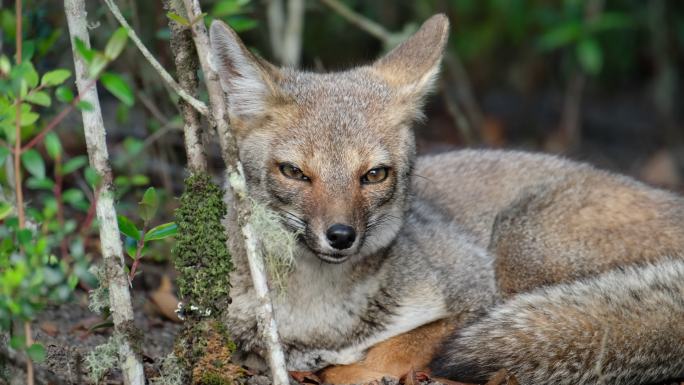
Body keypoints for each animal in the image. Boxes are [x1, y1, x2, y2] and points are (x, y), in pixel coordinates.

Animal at [208, 12, 684, 384]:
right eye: (294, 172)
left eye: (374, 175)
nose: (341, 236)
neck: (321, 312)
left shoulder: (473, 289)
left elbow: (400, 347)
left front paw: (358, 367)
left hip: (521, 244)